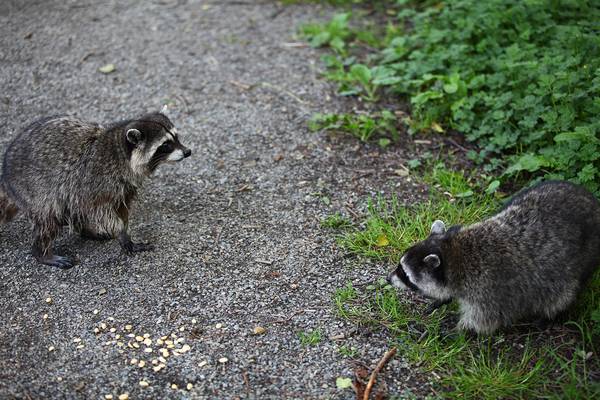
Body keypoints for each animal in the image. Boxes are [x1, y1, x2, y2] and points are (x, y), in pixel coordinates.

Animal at [0, 109, 191, 268]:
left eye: (176, 137)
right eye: (165, 145)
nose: (188, 152)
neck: (122, 153)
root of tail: (6, 175)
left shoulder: (125, 186)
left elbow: (121, 208)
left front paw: (124, 230)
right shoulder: (96, 181)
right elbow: (100, 211)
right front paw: (122, 233)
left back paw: (84, 231)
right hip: (34, 189)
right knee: (49, 218)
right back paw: (42, 252)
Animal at [386, 181, 600, 334]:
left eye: (404, 274)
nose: (388, 279)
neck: (453, 253)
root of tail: (591, 200)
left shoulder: (487, 289)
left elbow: (484, 319)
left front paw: (455, 330)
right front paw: (444, 298)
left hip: (581, 261)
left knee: (561, 295)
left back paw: (550, 315)